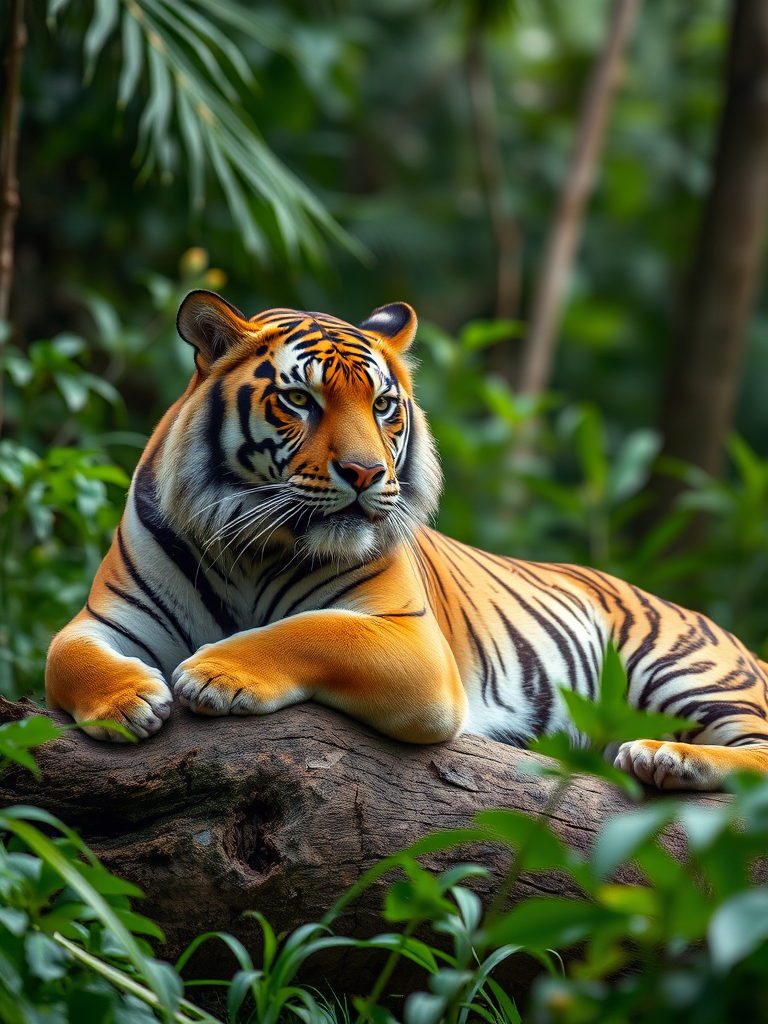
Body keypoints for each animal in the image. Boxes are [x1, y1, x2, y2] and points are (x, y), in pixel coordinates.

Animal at [45, 290, 768, 791]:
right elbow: (62, 654)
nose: (365, 473)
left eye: (383, 406)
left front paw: (215, 673)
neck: (253, 543)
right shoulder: (106, 619)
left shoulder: (413, 641)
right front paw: (130, 701)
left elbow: (313, 631)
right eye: (300, 401)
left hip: (685, 664)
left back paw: (663, 757)